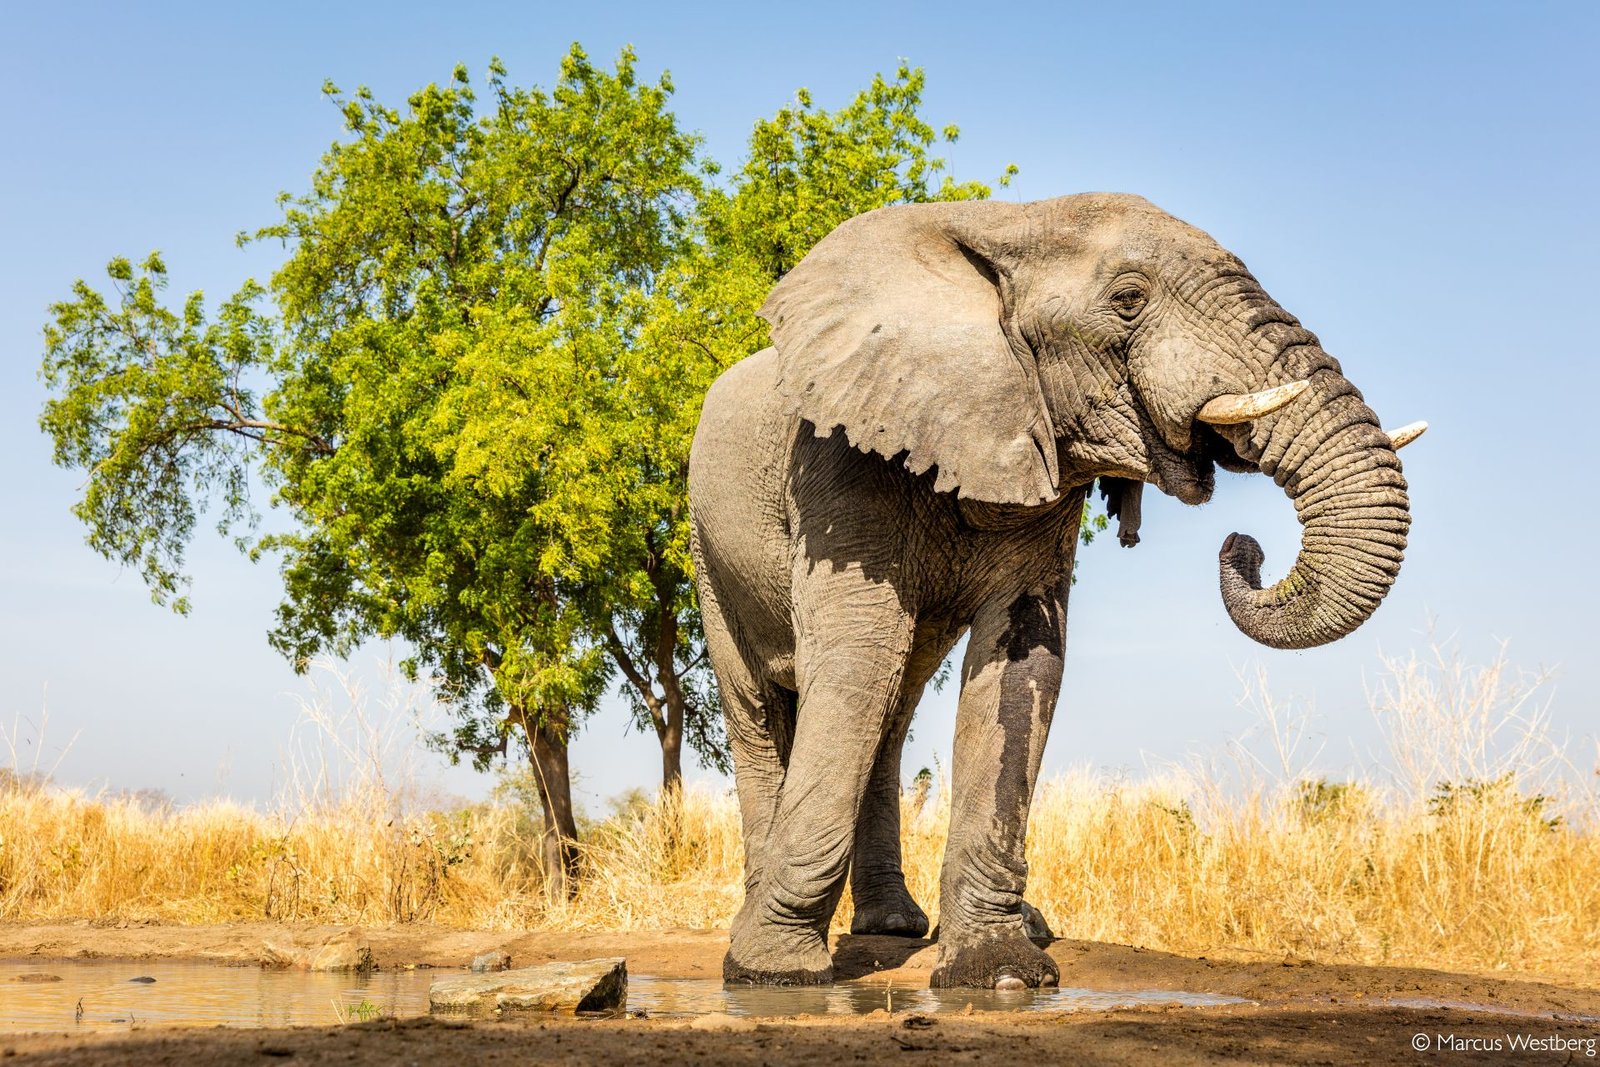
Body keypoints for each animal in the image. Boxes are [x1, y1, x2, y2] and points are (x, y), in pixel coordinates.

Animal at [687, 193, 1422, 989]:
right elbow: (858, 659)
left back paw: (902, 927)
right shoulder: (841, 456)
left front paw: (1001, 970)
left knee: (892, 709)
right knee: (765, 705)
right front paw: (773, 971)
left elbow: (1022, 662)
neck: (1012, 222)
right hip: (704, 547)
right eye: (1129, 300)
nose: (1242, 546)